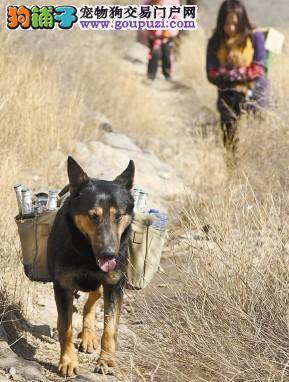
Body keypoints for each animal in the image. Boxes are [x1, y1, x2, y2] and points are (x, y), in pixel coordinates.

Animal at [46, 156, 134, 376]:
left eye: (118, 216)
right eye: (93, 216)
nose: (109, 254)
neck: (87, 252)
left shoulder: (114, 284)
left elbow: (110, 327)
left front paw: (106, 361)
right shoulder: (62, 285)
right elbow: (66, 327)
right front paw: (68, 361)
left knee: (93, 299)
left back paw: (88, 335)